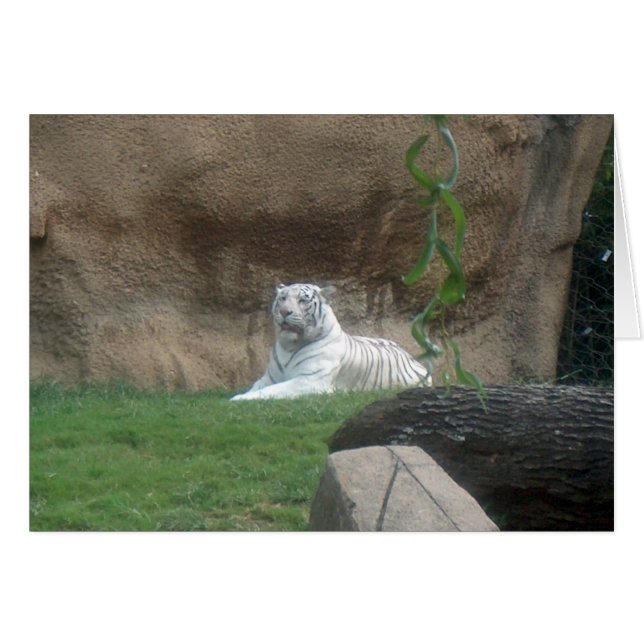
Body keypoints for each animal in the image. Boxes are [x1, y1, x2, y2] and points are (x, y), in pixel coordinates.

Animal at [230, 282, 430, 400]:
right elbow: (256, 387)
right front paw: (242, 395)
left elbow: (272, 391)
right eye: (283, 298)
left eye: (302, 300)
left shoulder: (309, 381)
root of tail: (412, 357)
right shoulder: (269, 378)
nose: (284, 312)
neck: (289, 346)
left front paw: (237, 399)